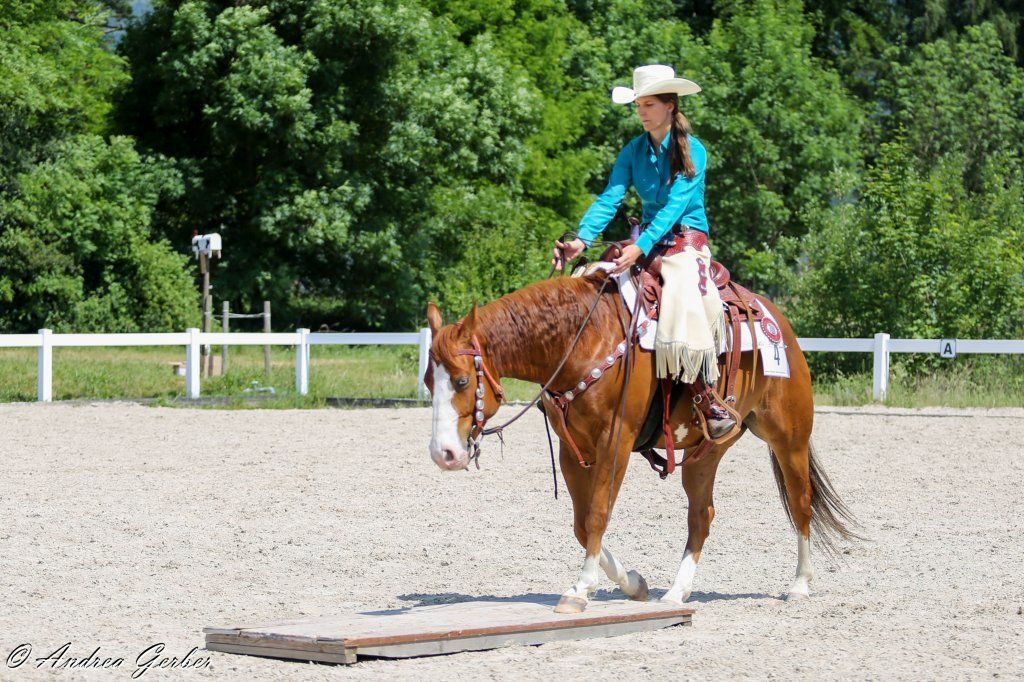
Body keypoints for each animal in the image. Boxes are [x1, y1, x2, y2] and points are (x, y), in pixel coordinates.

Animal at [423, 268, 857, 613]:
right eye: (429, 381)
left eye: (461, 381)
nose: (444, 454)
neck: (583, 340)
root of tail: (776, 320)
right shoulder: (570, 450)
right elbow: (581, 522)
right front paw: (632, 584)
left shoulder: (615, 441)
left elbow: (597, 514)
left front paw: (581, 589)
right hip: (706, 453)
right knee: (701, 516)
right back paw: (677, 591)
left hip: (789, 438)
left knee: (800, 504)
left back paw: (799, 585)